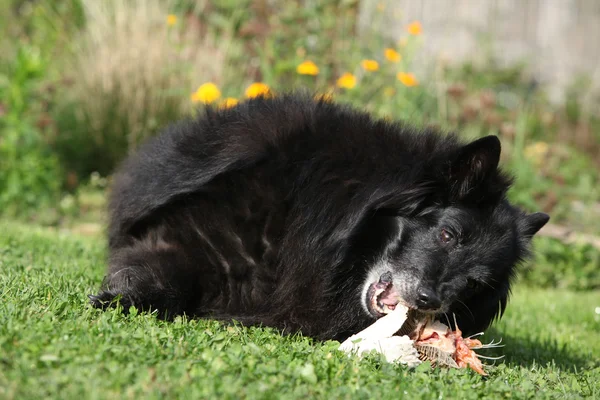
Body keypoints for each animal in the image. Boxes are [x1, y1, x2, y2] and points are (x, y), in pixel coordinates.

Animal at [90, 92, 548, 340]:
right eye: (448, 235)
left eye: (475, 284)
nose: (429, 300)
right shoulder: (196, 238)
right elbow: (165, 274)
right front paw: (118, 297)